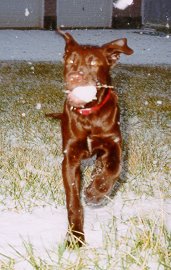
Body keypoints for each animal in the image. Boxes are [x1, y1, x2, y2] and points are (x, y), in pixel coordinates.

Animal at [46, 29, 134, 247]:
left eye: (94, 63)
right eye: (70, 60)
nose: (75, 76)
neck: (89, 115)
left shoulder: (114, 143)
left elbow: (114, 168)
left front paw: (94, 193)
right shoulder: (70, 157)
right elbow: (73, 201)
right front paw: (75, 236)